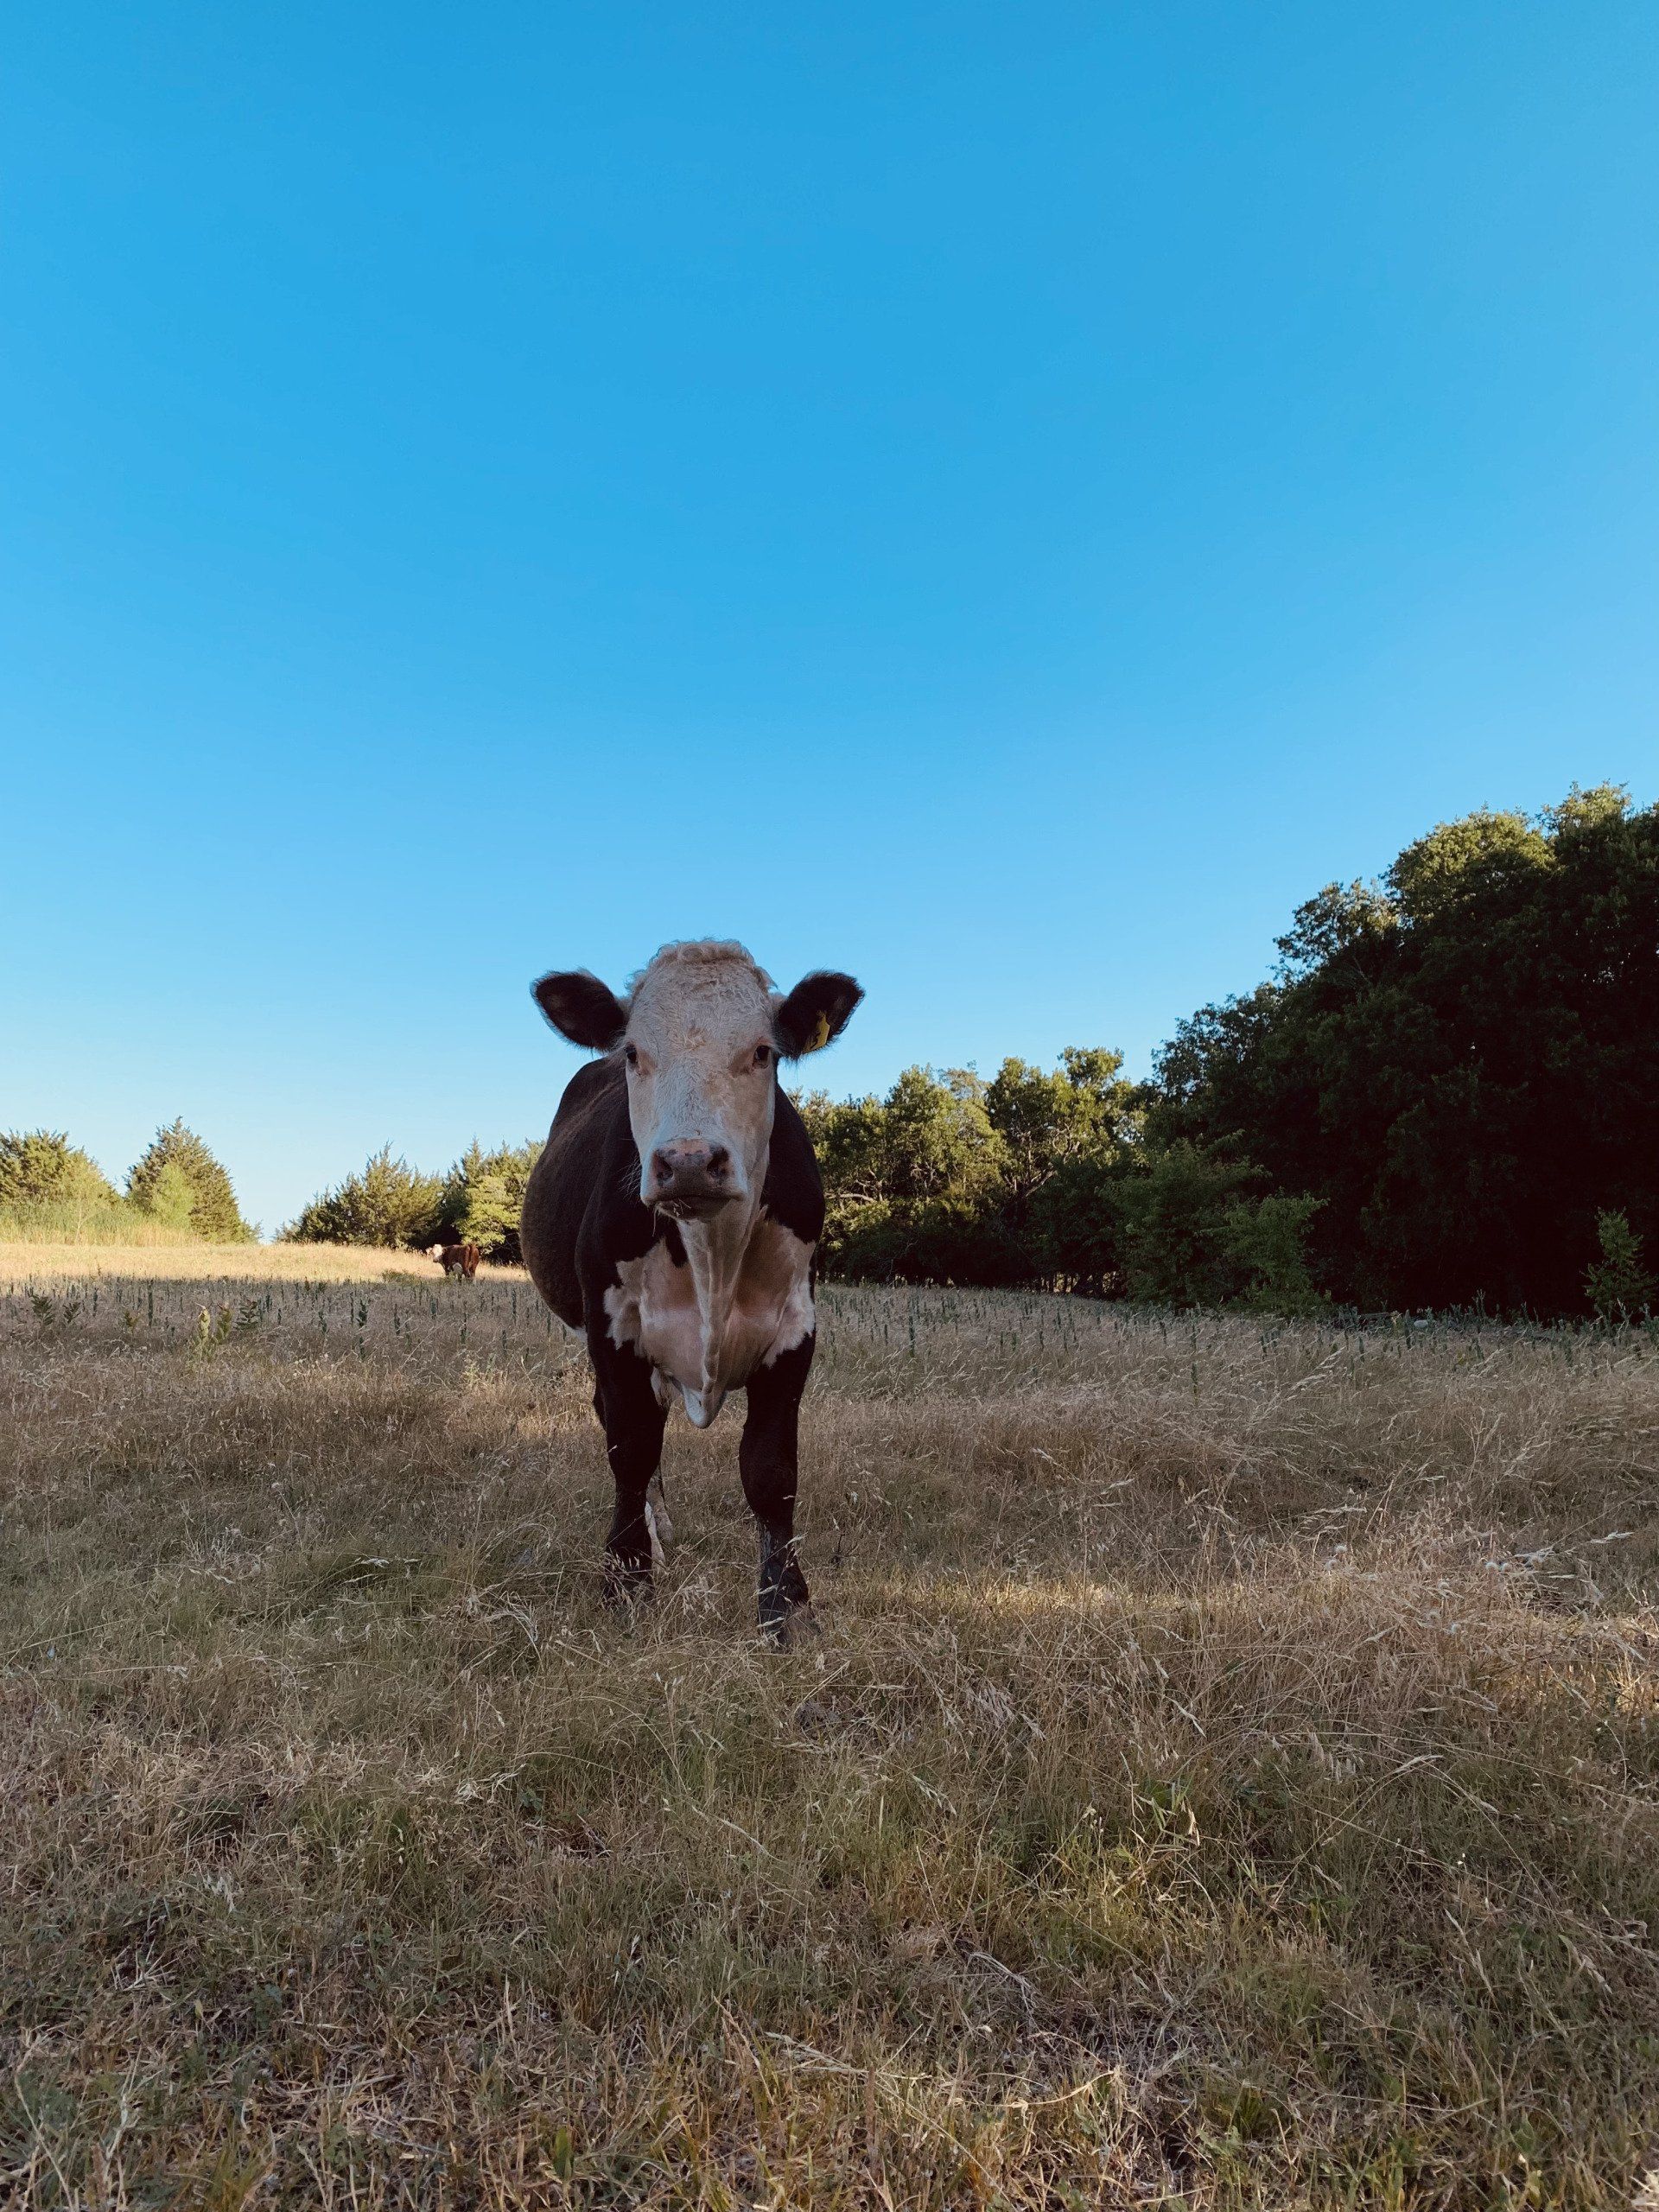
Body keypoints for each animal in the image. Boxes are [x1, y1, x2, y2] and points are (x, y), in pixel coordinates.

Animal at [520, 940, 862, 1642]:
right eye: (634, 1053)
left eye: (763, 1052)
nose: (687, 1161)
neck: (713, 1262)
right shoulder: (613, 1328)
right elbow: (630, 1448)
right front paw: (627, 1580)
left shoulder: (796, 1330)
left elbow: (771, 1471)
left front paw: (786, 1606)